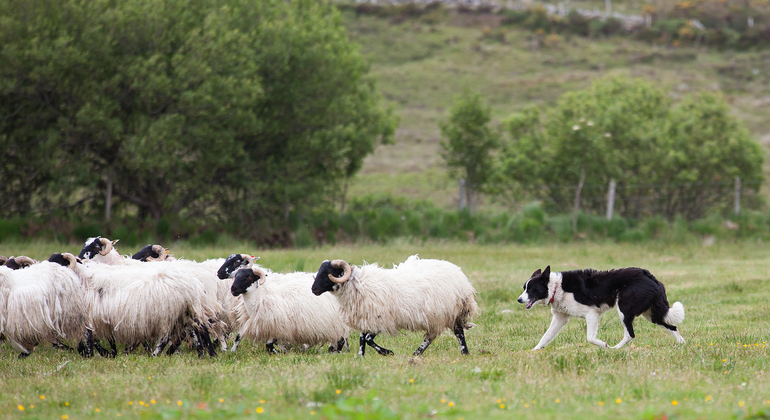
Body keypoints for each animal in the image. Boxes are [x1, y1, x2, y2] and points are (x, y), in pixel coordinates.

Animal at [308, 254, 476, 356]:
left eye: (328, 273)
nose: (313, 289)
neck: (358, 285)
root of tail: (460, 276)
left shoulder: (380, 319)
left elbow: (368, 339)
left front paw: (387, 352)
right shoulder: (367, 317)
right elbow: (362, 338)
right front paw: (361, 356)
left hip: (445, 312)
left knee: (452, 333)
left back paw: (460, 352)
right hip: (443, 314)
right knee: (443, 334)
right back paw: (420, 353)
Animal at [516, 266, 684, 352]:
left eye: (532, 289)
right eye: (524, 288)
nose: (519, 300)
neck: (557, 287)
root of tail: (650, 276)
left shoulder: (591, 313)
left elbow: (590, 338)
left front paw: (603, 345)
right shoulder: (560, 318)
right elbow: (545, 336)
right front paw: (535, 351)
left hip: (624, 309)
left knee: (630, 334)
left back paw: (614, 349)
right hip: (651, 314)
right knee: (672, 326)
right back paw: (682, 344)